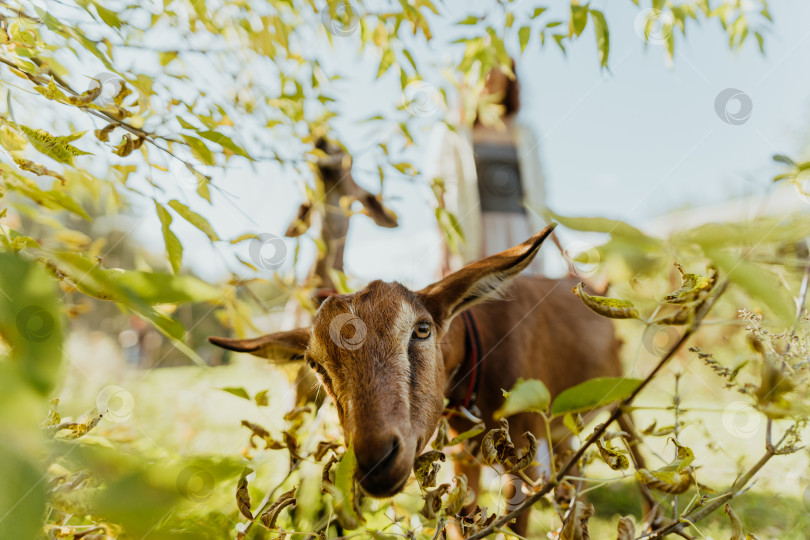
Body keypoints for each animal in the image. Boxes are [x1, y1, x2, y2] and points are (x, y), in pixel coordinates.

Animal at [208, 226, 652, 532]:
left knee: (639, 461)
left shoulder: (522, 460)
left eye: (422, 329)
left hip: (619, 402)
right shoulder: (462, 459)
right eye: (316, 365)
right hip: (563, 431)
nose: (375, 459)